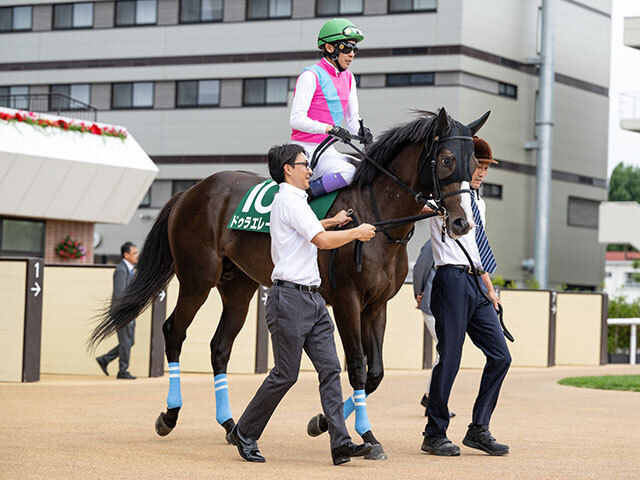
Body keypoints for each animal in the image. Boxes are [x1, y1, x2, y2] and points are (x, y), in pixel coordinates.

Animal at [90, 107, 488, 460]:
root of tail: (192, 190)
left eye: (472, 164)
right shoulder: (347, 300)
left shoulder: (377, 305)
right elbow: (357, 367)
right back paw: (170, 416)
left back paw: (232, 426)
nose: (461, 223)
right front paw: (366, 437)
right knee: (174, 331)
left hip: (238, 287)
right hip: (196, 279)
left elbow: (375, 372)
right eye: (447, 160)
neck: (377, 215)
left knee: (220, 347)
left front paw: (322, 422)